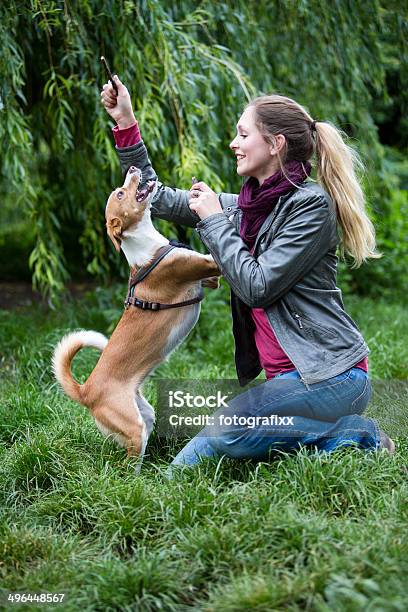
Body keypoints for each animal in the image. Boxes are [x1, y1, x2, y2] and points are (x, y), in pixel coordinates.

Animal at [53, 165, 223, 462]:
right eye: (121, 193)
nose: (133, 168)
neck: (147, 247)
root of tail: (86, 391)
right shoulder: (204, 265)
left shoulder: (210, 280)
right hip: (132, 426)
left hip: (145, 416)